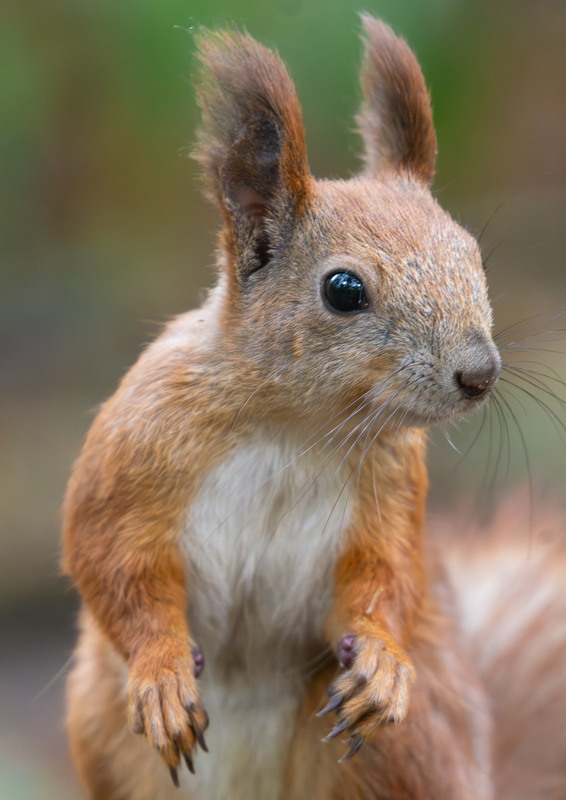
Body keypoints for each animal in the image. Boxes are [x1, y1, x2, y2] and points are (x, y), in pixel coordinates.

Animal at [63, 14, 566, 800]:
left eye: (472, 255)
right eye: (343, 290)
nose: (480, 373)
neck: (295, 427)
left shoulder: (390, 491)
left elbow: (387, 579)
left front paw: (383, 662)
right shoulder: (138, 446)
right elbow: (108, 558)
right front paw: (161, 672)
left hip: (412, 746)